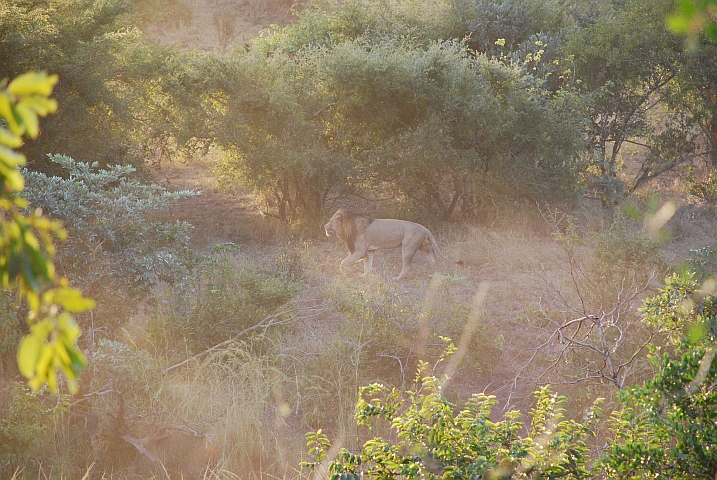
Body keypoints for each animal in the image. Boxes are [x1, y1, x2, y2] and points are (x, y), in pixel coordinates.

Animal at [324, 208, 462, 280]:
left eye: (330, 221)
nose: (325, 226)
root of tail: (424, 228)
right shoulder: (369, 251)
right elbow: (367, 266)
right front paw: (363, 276)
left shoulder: (359, 251)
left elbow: (343, 262)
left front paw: (343, 273)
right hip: (426, 248)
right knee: (435, 262)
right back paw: (437, 278)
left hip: (407, 248)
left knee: (407, 266)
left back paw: (397, 278)